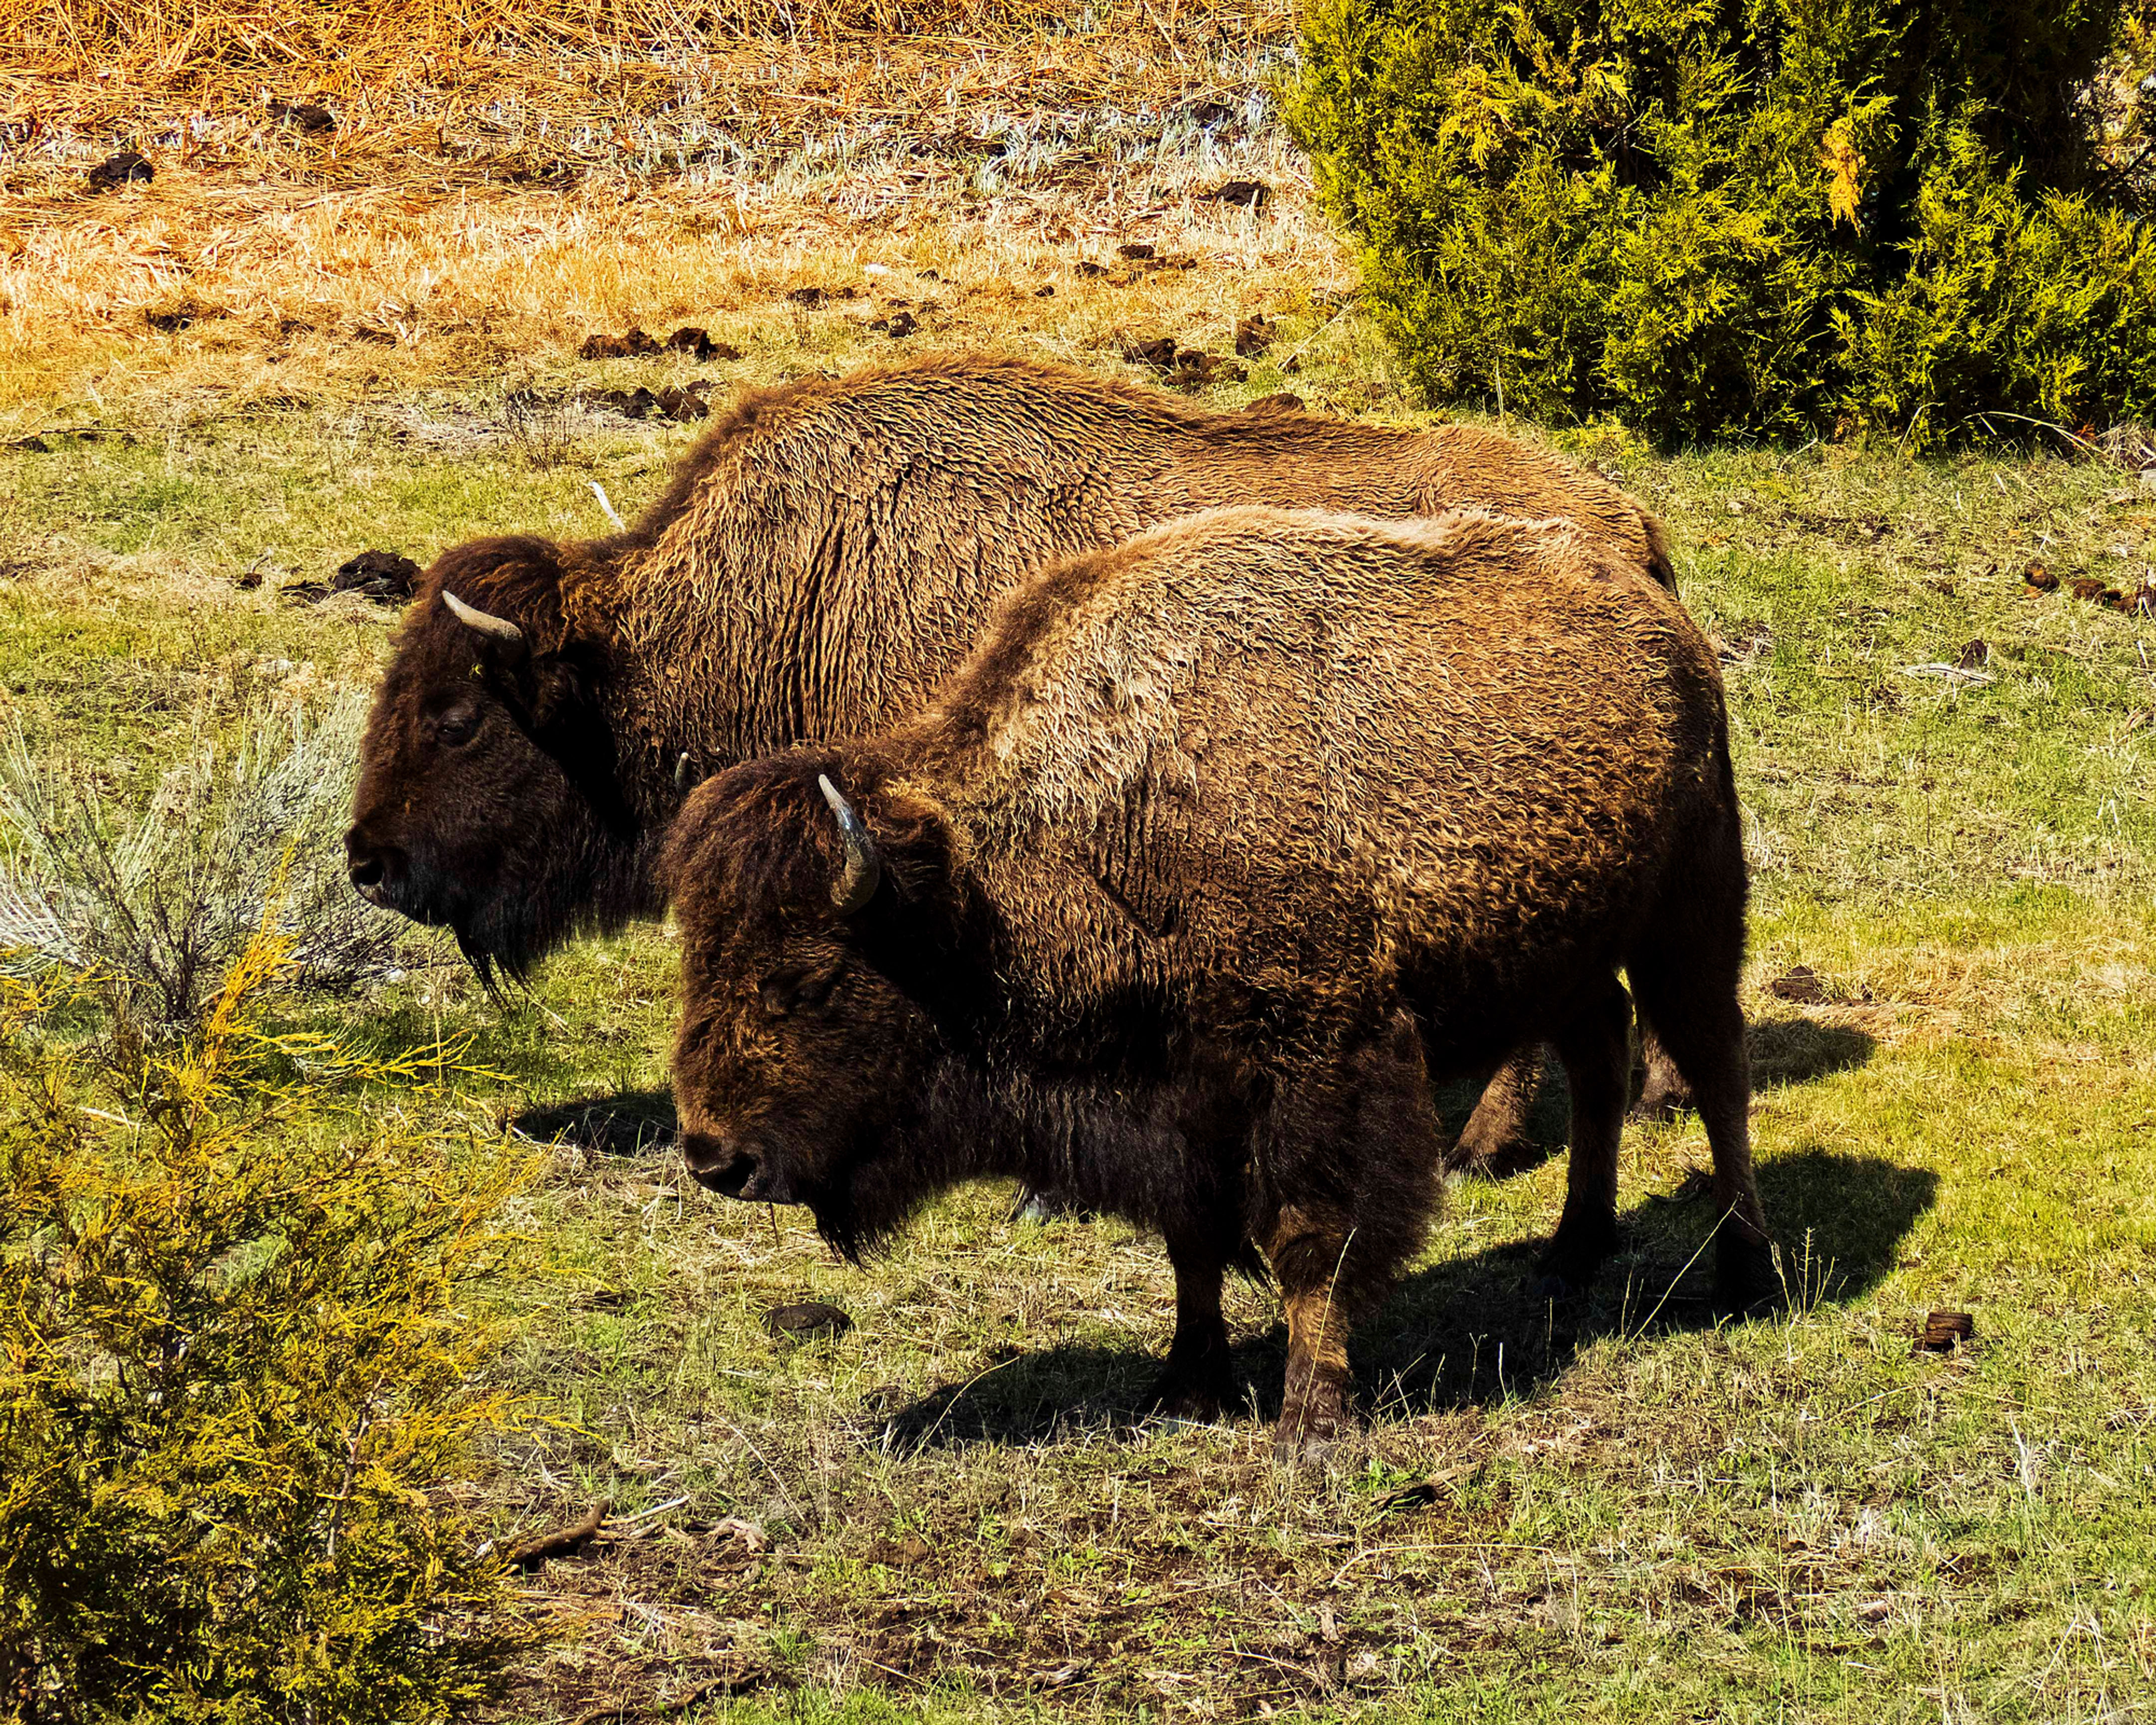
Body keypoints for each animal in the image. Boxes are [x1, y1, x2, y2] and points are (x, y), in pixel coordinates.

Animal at [662, 506, 1775, 1462]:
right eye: (699, 958)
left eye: (810, 976)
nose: (715, 1156)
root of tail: (1659, 610)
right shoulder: (1181, 1103)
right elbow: (1191, 1243)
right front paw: (1186, 1385)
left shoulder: (1318, 1066)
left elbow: (1308, 1242)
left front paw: (1309, 1422)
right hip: (1565, 948)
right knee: (1598, 1051)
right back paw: (1572, 1250)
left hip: (1692, 910)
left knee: (1718, 1074)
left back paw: (1746, 1277)